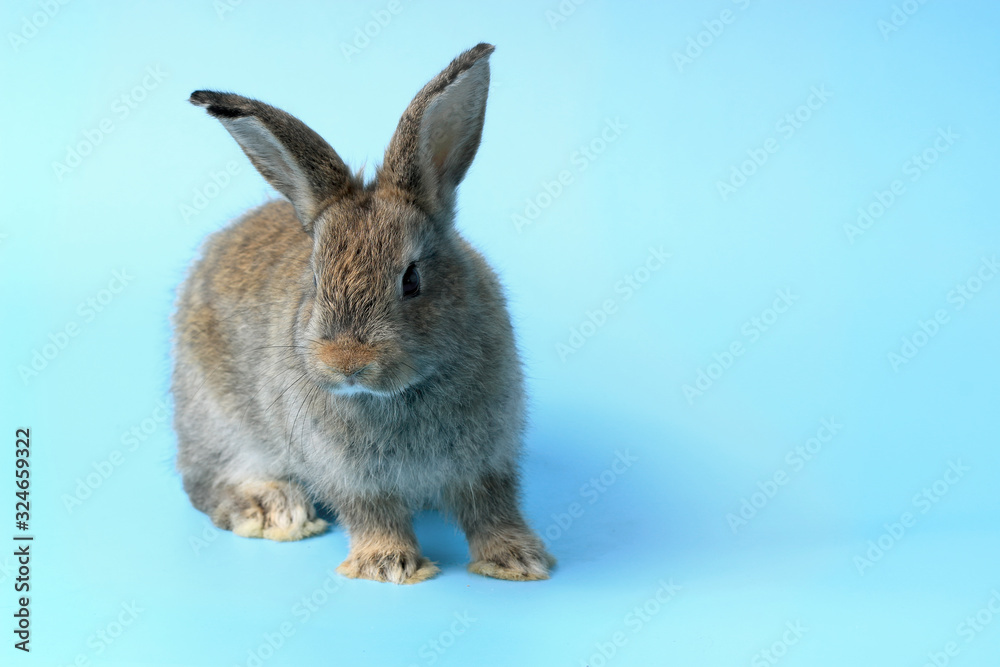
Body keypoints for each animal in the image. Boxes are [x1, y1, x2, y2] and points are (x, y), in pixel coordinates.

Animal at [172, 43, 554, 584]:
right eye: (314, 280)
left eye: (411, 279)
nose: (346, 363)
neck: (399, 394)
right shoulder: (349, 474)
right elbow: (373, 511)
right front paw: (389, 565)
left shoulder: (487, 459)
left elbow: (492, 507)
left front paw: (517, 560)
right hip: (216, 418)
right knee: (207, 482)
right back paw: (274, 511)